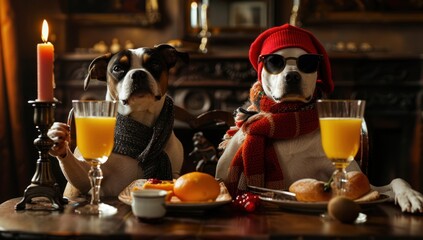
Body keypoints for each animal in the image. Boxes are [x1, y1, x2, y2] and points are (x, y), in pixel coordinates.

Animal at [47, 44, 187, 198]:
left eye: (154, 64)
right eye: (117, 68)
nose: (138, 74)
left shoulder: (175, 172)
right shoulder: (82, 178)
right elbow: (82, 175)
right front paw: (58, 140)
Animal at [217, 23, 422, 212]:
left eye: (308, 62)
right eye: (274, 61)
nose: (292, 76)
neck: (290, 116)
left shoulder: (360, 179)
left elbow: (396, 179)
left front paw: (410, 195)